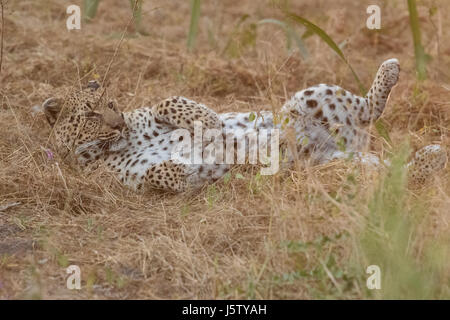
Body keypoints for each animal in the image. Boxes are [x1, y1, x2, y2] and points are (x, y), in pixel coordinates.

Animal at [41, 57, 446, 192]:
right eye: (90, 116)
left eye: (111, 104)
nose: (118, 123)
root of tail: (350, 144)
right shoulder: (134, 181)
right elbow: (160, 174)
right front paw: (191, 168)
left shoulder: (150, 112)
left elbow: (167, 101)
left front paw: (208, 123)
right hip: (337, 170)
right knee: (398, 175)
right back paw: (433, 156)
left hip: (314, 96)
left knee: (370, 108)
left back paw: (389, 71)